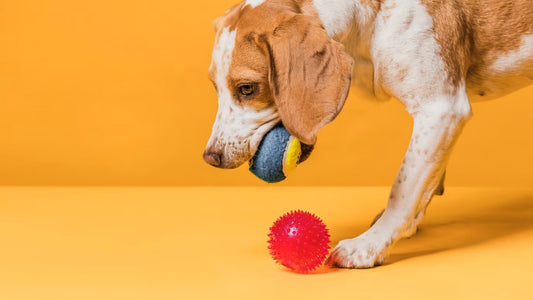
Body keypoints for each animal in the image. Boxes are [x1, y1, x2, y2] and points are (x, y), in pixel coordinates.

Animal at [201, 0, 532, 268]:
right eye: (215, 87)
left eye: (247, 89)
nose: (210, 157)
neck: (370, 18)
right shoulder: (441, 120)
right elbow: (425, 181)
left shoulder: (441, 108)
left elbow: (403, 189)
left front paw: (371, 244)